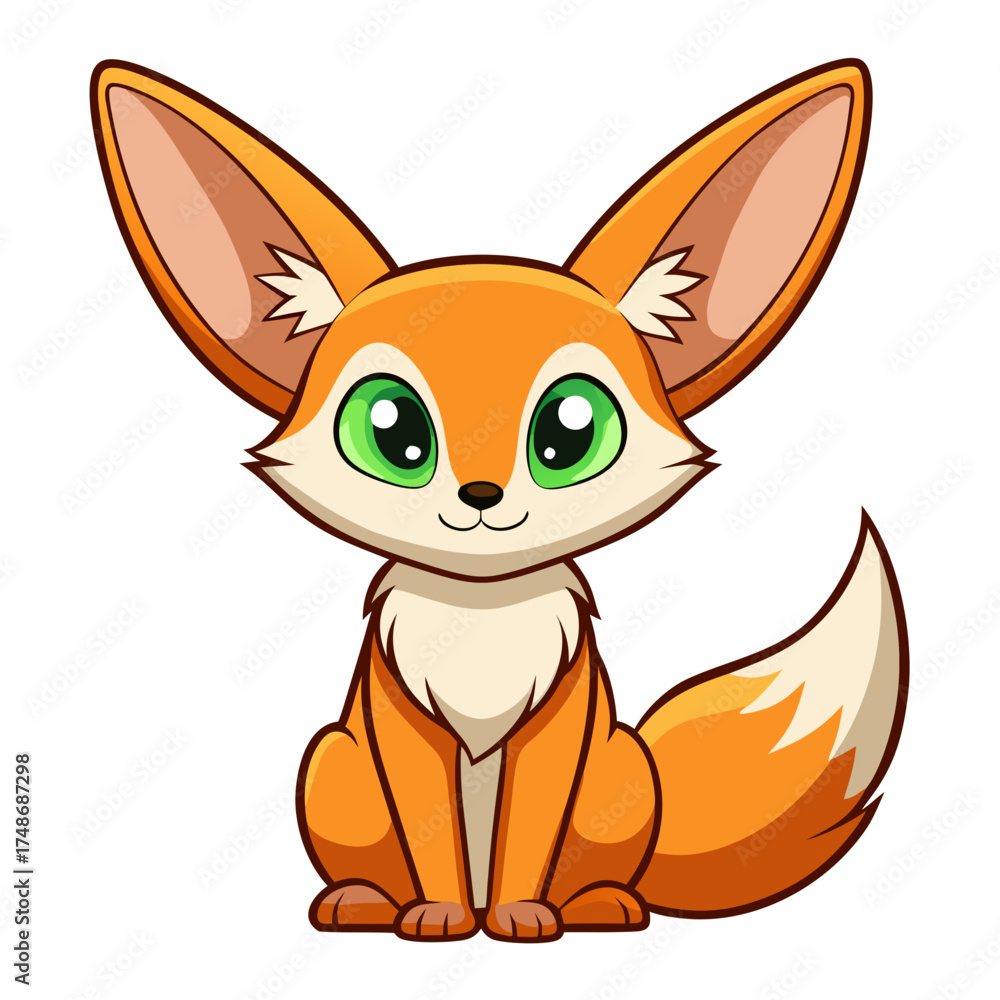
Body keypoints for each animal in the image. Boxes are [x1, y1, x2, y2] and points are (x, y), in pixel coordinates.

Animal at [91, 58, 907, 942]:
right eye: (392, 431)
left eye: (569, 432)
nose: (480, 496)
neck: (481, 615)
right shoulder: (401, 726)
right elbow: (431, 831)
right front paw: (441, 913)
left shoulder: (558, 726)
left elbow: (529, 830)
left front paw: (520, 912)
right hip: (333, 764)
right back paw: (363, 900)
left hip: (620, 772)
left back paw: (596, 903)